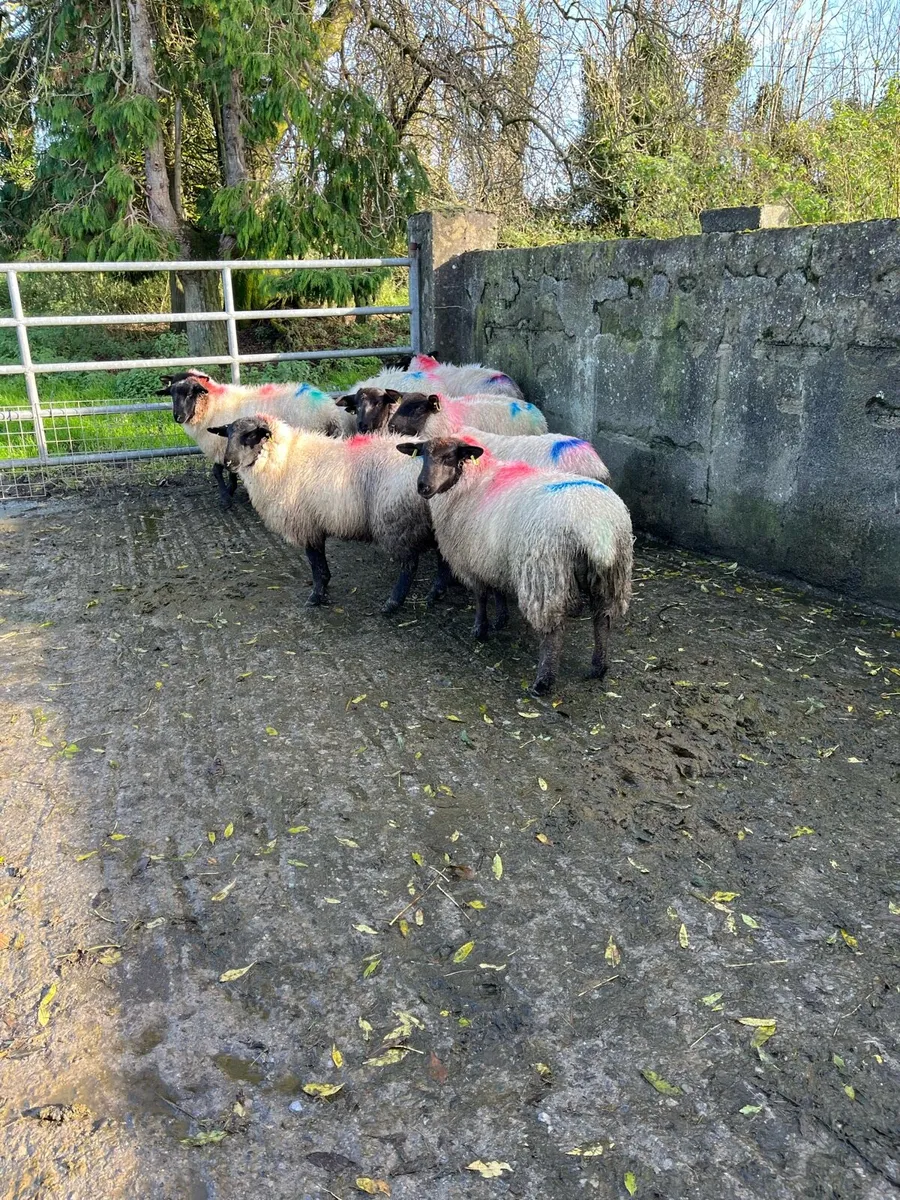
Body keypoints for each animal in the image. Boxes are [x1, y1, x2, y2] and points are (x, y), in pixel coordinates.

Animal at [155, 370, 355, 507]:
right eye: (172, 393)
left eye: (191, 393)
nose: (178, 417)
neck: (213, 405)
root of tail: (329, 412)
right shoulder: (231, 447)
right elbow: (230, 471)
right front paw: (231, 490)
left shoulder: (222, 445)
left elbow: (217, 471)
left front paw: (226, 498)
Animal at [207, 416, 450, 613]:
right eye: (228, 434)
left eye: (251, 435)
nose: (229, 462)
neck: (284, 459)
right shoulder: (315, 522)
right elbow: (319, 561)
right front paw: (323, 587)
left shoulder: (305, 523)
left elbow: (315, 563)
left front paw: (316, 596)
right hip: (433, 523)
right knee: (443, 555)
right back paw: (436, 592)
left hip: (397, 520)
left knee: (410, 564)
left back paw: (393, 603)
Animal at [396, 436, 633, 695]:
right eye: (422, 455)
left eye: (449, 457)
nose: (423, 487)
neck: (470, 482)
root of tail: (597, 528)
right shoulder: (493, 557)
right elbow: (498, 590)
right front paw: (500, 620)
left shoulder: (472, 558)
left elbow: (481, 596)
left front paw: (480, 630)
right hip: (610, 576)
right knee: (603, 619)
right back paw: (598, 667)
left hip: (544, 576)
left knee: (553, 632)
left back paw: (543, 681)